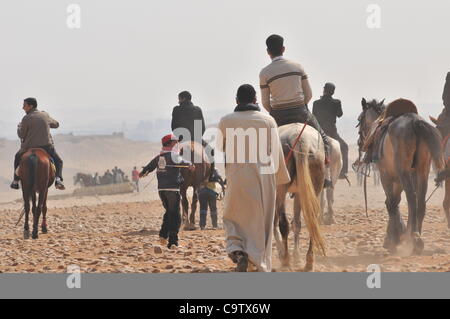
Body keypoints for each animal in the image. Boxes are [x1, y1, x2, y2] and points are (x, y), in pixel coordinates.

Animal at [356, 99, 444, 254]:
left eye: (359, 119)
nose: (360, 143)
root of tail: (415, 122)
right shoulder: (399, 178)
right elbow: (394, 201)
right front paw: (397, 234)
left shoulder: (387, 175)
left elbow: (391, 202)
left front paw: (393, 239)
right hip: (422, 170)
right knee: (420, 200)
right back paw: (416, 237)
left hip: (403, 172)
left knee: (411, 199)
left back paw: (414, 238)